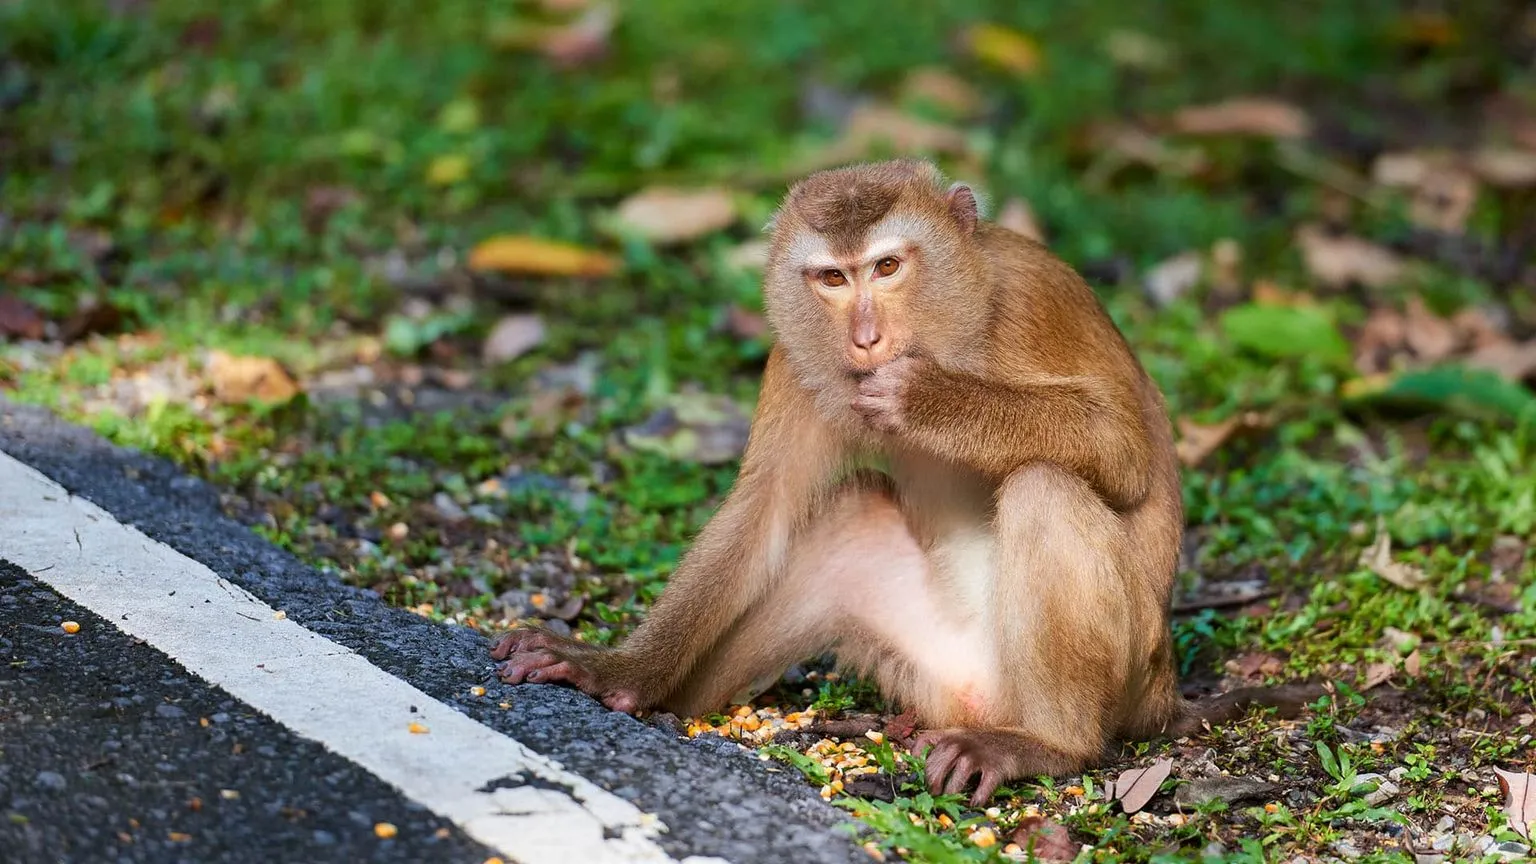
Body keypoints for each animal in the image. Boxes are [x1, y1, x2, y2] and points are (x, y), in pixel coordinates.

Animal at [493, 158, 1310, 805]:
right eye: (832, 277)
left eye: (887, 268)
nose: (865, 339)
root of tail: (1167, 693)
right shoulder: (798, 361)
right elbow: (765, 510)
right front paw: (619, 667)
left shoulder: (1033, 301)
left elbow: (1122, 448)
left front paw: (930, 400)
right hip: (935, 671)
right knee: (847, 510)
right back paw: (665, 697)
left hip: (1127, 673)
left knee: (1045, 486)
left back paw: (1051, 745)